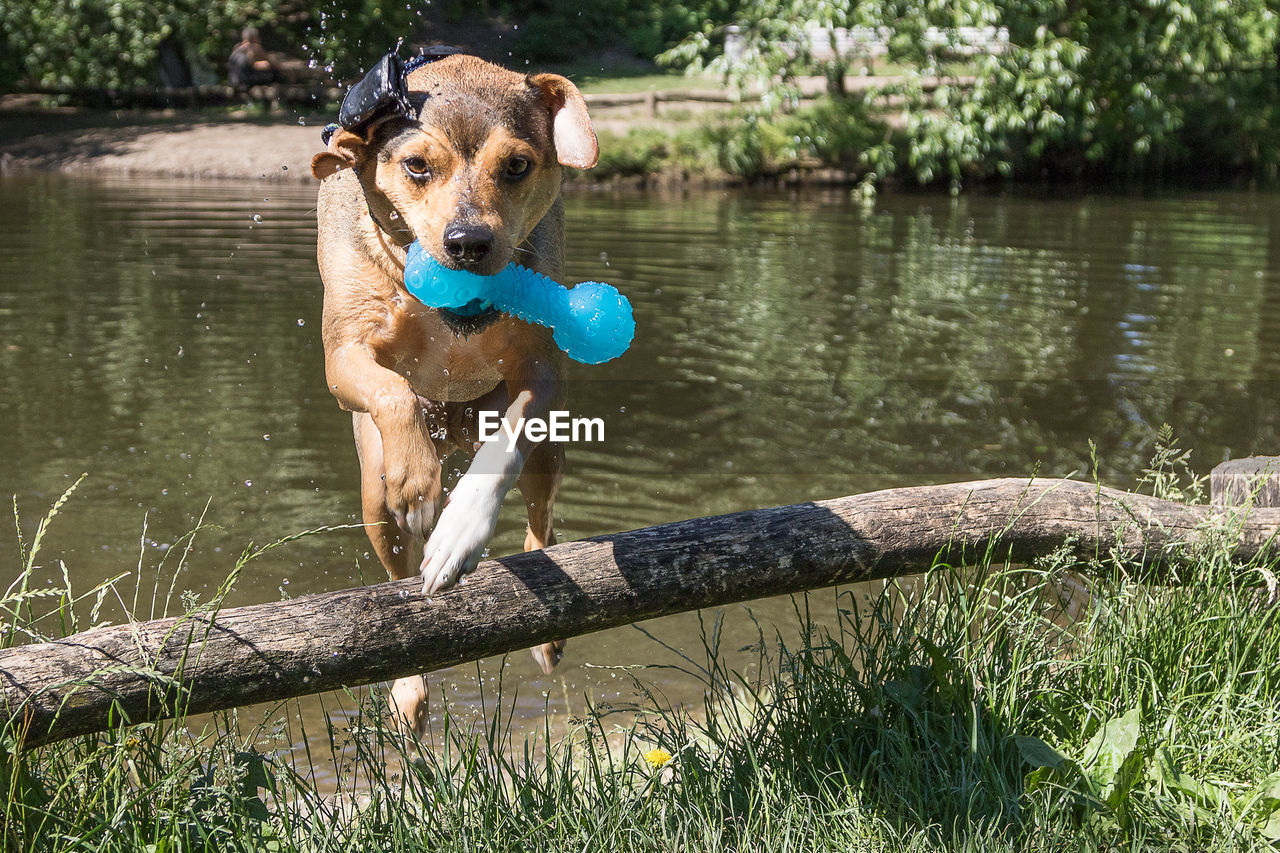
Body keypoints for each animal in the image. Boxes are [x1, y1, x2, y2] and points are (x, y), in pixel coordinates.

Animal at [312, 46, 596, 727]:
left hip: (546, 456)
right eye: (416, 165)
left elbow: (504, 451)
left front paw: (459, 531)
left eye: (517, 165)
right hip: (372, 493)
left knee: (541, 517)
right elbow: (388, 389)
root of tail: (455, 428)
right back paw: (408, 689)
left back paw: (548, 636)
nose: (468, 242)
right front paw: (418, 482)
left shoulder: (542, 376)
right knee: (395, 570)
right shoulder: (344, 356)